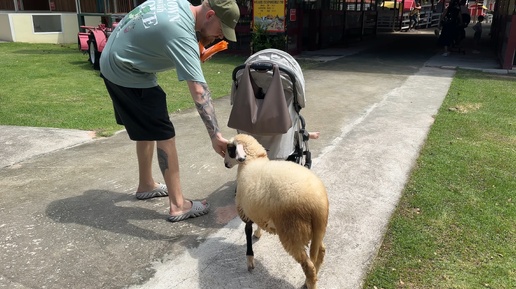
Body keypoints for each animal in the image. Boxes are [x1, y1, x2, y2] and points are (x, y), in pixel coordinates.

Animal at [224, 133, 328, 288]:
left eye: (230, 149)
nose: (225, 164)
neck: (252, 161)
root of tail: (318, 205)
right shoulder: (256, 207)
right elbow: (259, 223)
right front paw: (258, 233)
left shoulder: (244, 211)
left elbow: (247, 232)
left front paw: (250, 261)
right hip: (317, 231)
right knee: (320, 253)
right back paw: (309, 280)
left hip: (292, 232)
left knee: (308, 266)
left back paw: (309, 283)